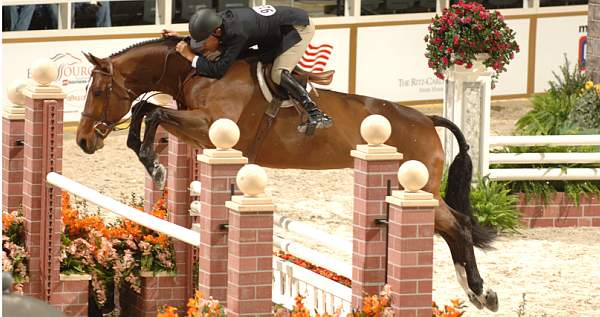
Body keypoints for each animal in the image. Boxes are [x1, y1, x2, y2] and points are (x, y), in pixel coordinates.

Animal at [76, 35, 496, 310]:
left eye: (97, 92)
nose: (82, 141)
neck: (198, 71)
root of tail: (426, 120)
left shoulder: (210, 127)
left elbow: (154, 112)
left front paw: (154, 164)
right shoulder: (196, 130)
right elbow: (148, 111)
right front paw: (148, 156)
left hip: (418, 186)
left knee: (458, 227)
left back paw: (480, 291)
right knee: (453, 229)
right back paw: (475, 291)